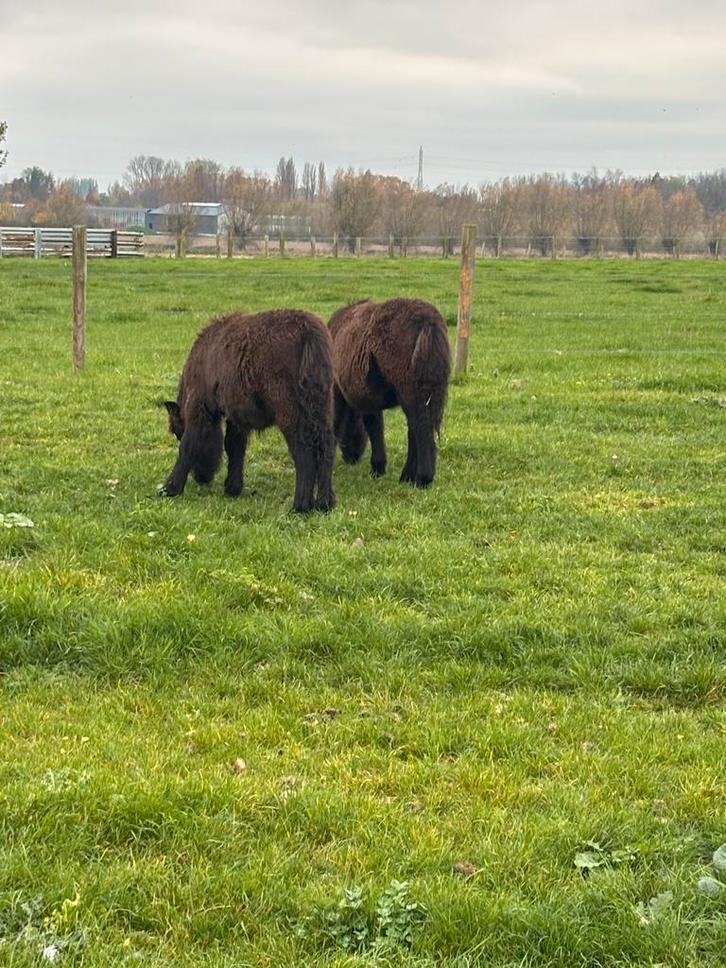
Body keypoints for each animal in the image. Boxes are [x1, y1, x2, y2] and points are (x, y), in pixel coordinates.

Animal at [162, 308, 336, 513]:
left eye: (178, 432)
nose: (200, 478)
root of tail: (309, 333)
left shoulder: (200, 407)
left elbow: (189, 445)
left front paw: (170, 488)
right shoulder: (236, 417)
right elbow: (235, 446)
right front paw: (233, 488)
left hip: (291, 415)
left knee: (304, 453)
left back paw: (300, 506)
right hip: (322, 409)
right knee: (326, 448)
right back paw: (325, 503)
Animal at [329, 297, 450, 487]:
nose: (351, 458)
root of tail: (427, 322)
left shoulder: (343, 393)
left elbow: (349, 423)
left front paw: (377, 468)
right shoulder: (369, 398)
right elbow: (376, 427)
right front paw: (379, 467)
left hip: (411, 392)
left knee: (421, 430)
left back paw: (422, 479)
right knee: (415, 429)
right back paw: (407, 476)